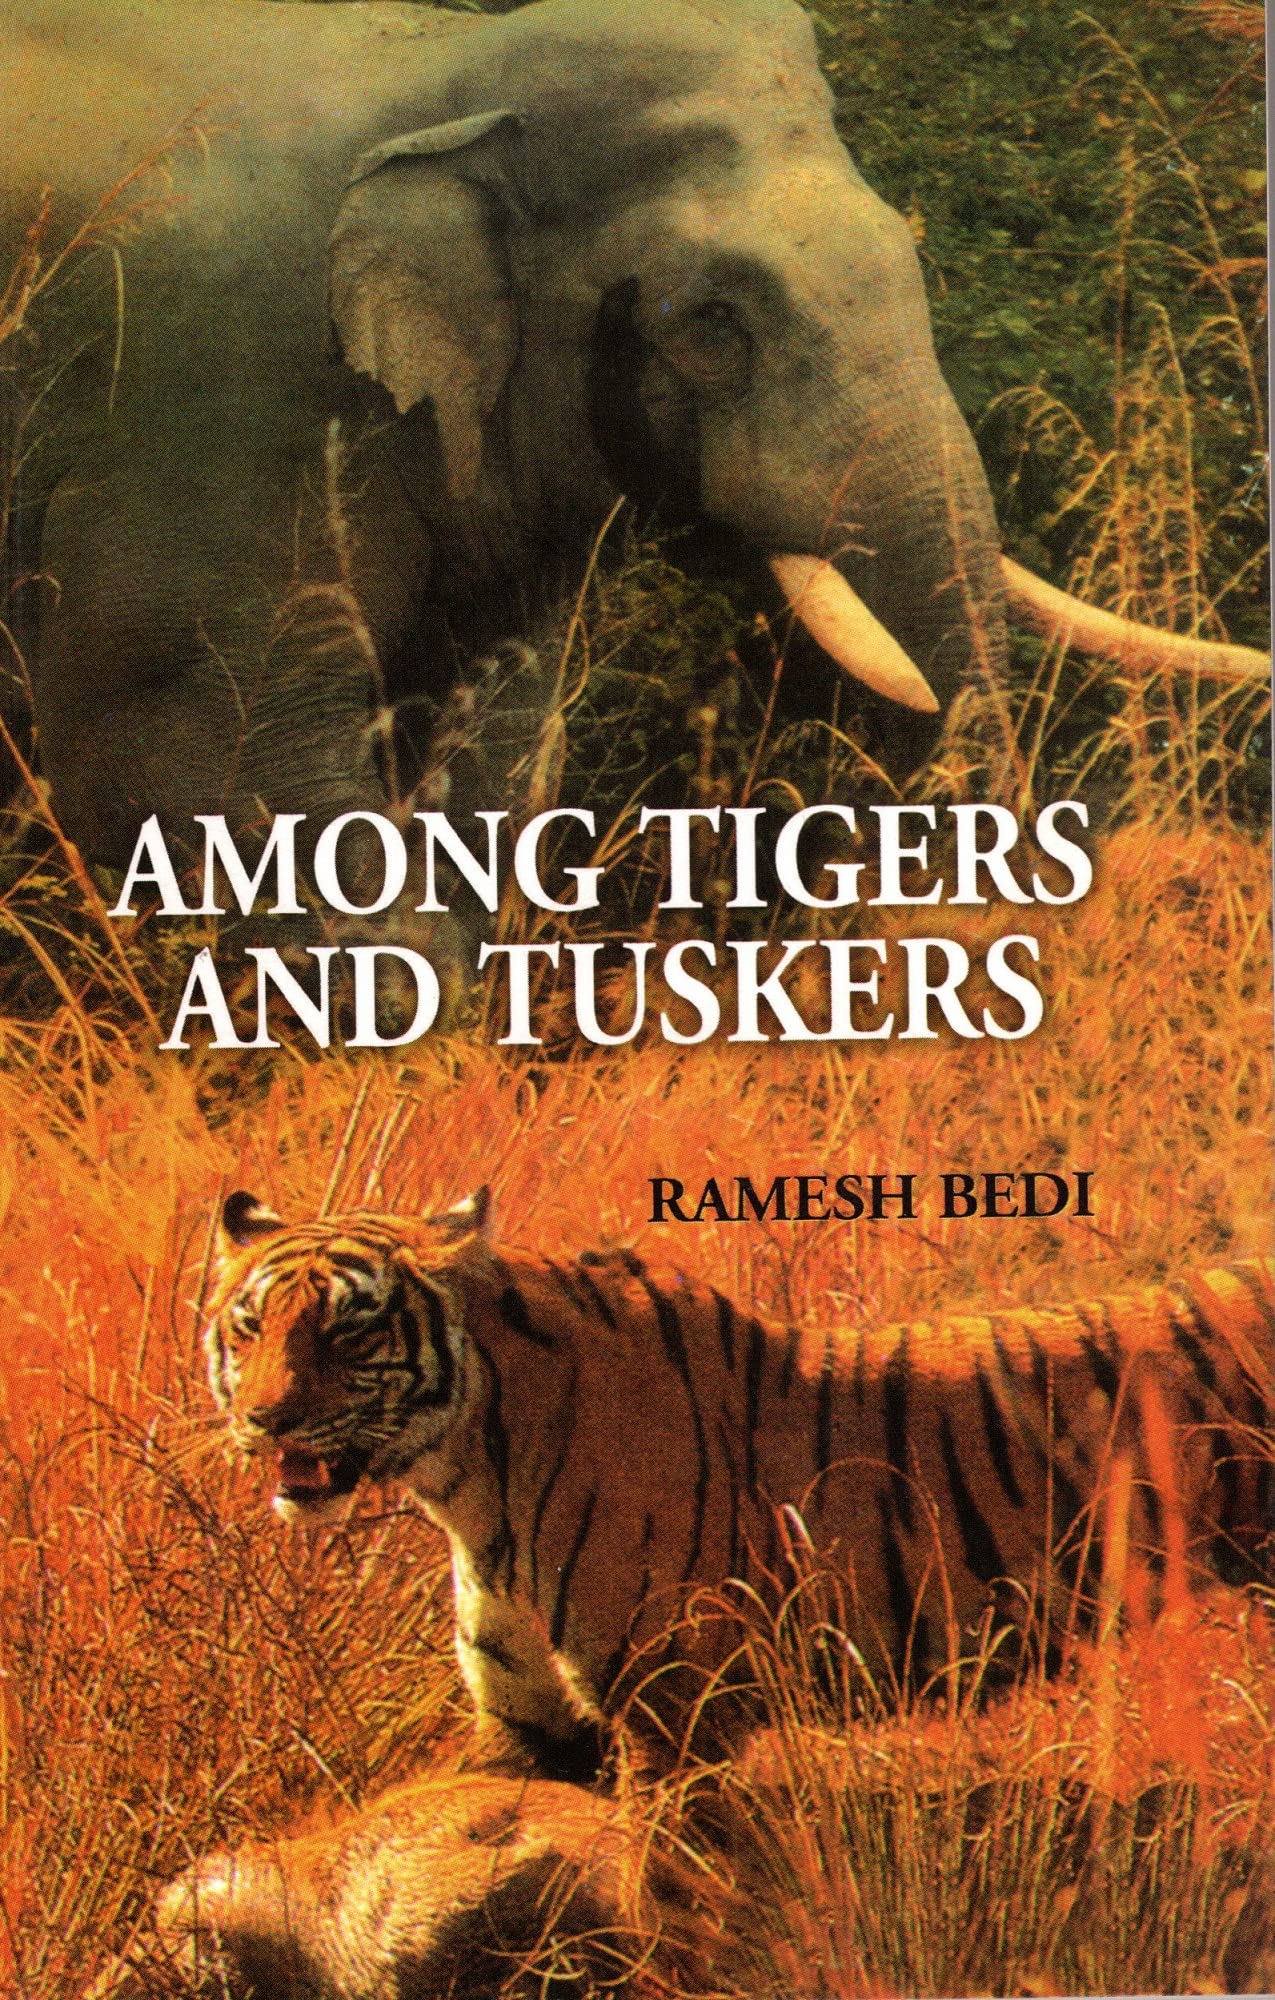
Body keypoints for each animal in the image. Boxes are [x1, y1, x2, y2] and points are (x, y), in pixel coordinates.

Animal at [206, 1186, 1274, 1781]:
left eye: (349, 1330)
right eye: (248, 1327)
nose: (264, 1420)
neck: (468, 1484)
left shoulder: (670, 1718)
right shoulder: (526, 1731)